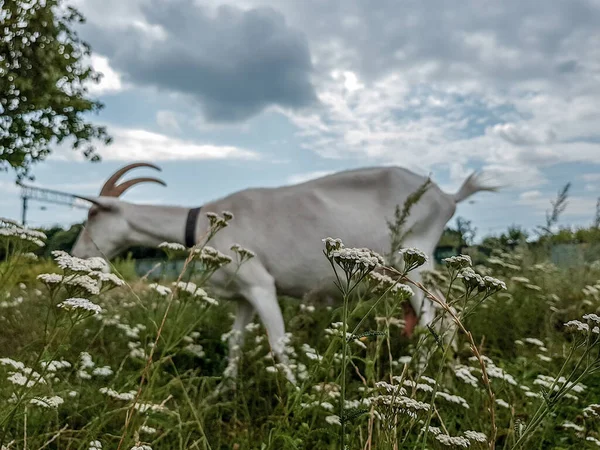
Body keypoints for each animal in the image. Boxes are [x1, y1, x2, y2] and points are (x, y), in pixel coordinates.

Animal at [71, 163, 492, 382]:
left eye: (92, 214)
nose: (77, 253)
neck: (205, 223)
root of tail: (447, 198)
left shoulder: (261, 285)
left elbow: (277, 344)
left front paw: (293, 392)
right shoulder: (243, 295)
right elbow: (235, 343)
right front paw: (224, 391)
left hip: (414, 266)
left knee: (436, 324)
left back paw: (422, 380)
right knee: (445, 323)